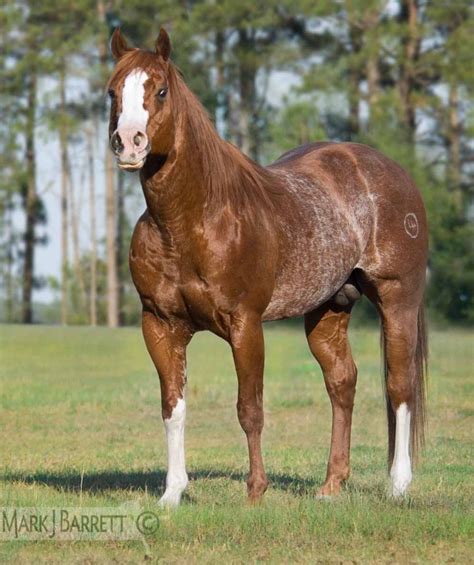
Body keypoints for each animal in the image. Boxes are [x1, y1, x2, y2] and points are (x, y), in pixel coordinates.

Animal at [108, 27, 430, 506]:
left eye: (160, 90)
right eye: (112, 92)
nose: (128, 142)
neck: (192, 220)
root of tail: (391, 172)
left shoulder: (245, 324)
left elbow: (250, 409)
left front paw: (255, 491)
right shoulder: (160, 325)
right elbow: (173, 408)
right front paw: (172, 493)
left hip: (397, 299)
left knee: (399, 386)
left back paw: (398, 485)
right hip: (329, 308)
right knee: (342, 382)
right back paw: (331, 485)